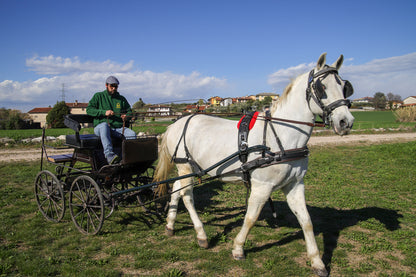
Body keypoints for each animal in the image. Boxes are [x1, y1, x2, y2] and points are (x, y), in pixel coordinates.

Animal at [153, 52, 354, 274]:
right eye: (322, 87)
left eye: (344, 86)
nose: (346, 122)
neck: (280, 136)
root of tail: (176, 123)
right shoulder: (262, 186)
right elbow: (251, 217)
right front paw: (238, 248)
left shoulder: (295, 185)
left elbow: (306, 221)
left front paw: (317, 261)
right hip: (185, 165)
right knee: (187, 196)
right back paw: (201, 234)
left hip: (190, 168)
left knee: (176, 188)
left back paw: (170, 225)